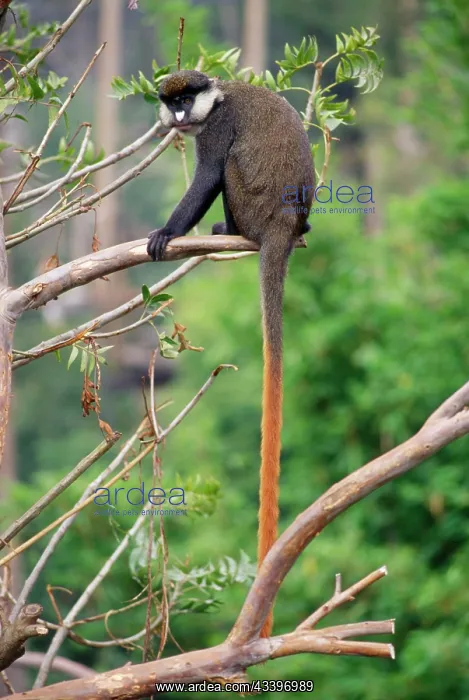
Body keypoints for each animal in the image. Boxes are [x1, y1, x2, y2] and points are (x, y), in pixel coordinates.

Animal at [147, 70, 315, 636]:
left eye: (185, 98)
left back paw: (229, 231)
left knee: (226, 175)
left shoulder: (216, 128)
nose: (178, 116)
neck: (218, 96)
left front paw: (168, 230)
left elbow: (207, 175)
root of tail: (284, 223)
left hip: (246, 201)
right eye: (171, 100)